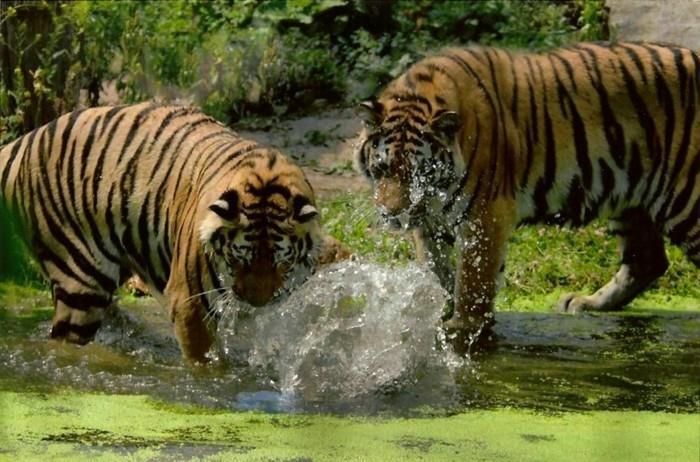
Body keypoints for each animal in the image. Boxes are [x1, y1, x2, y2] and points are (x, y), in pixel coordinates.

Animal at [0, 103, 334, 362]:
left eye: (282, 262)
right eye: (238, 260)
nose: (257, 304)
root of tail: (23, 142)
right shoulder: (190, 303)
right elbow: (204, 361)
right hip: (80, 282)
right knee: (64, 340)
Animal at [358, 42, 696, 350]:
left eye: (419, 173)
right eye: (383, 167)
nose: (393, 213)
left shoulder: (486, 215)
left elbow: (472, 282)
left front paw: (461, 331)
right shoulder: (430, 223)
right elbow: (437, 271)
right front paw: (438, 312)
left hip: (685, 200)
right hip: (630, 197)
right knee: (647, 259)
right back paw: (586, 303)